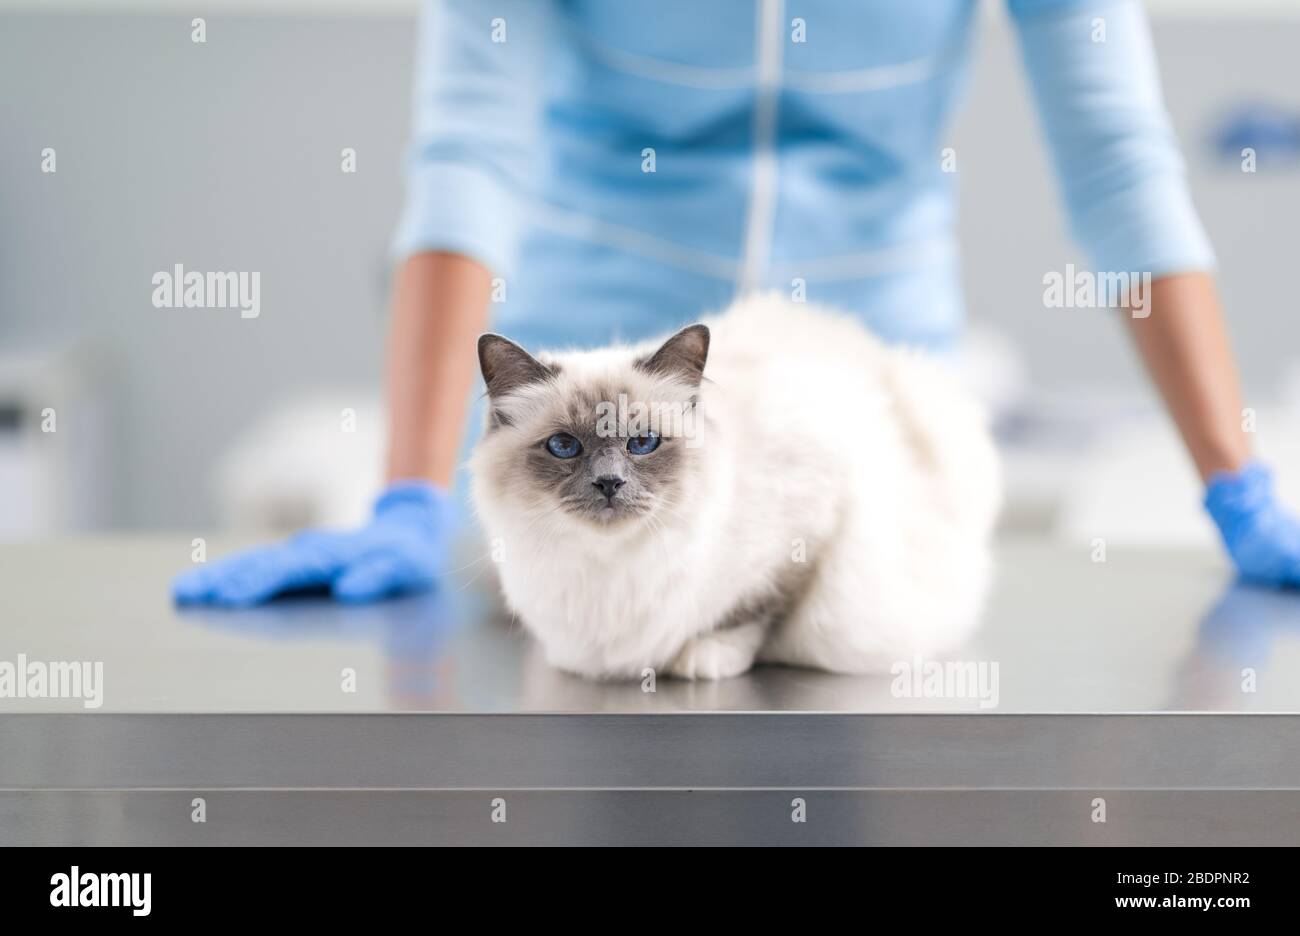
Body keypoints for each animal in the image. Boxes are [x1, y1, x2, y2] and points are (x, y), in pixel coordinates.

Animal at [470, 296, 1003, 681]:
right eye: (564, 446)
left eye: (643, 442)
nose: (609, 483)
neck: (611, 567)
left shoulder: (810, 527)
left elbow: (755, 611)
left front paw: (704, 656)